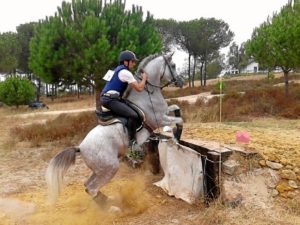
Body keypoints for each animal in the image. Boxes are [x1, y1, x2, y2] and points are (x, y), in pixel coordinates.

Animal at [45, 52, 184, 207]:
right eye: (173, 65)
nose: (181, 82)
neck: (147, 95)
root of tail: (80, 147)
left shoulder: (164, 113)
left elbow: (177, 108)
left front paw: (175, 134)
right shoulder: (159, 118)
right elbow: (180, 121)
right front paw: (176, 137)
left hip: (99, 170)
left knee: (87, 186)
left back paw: (109, 203)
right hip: (110, 167)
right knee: (92, 188)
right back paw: (112, 208)